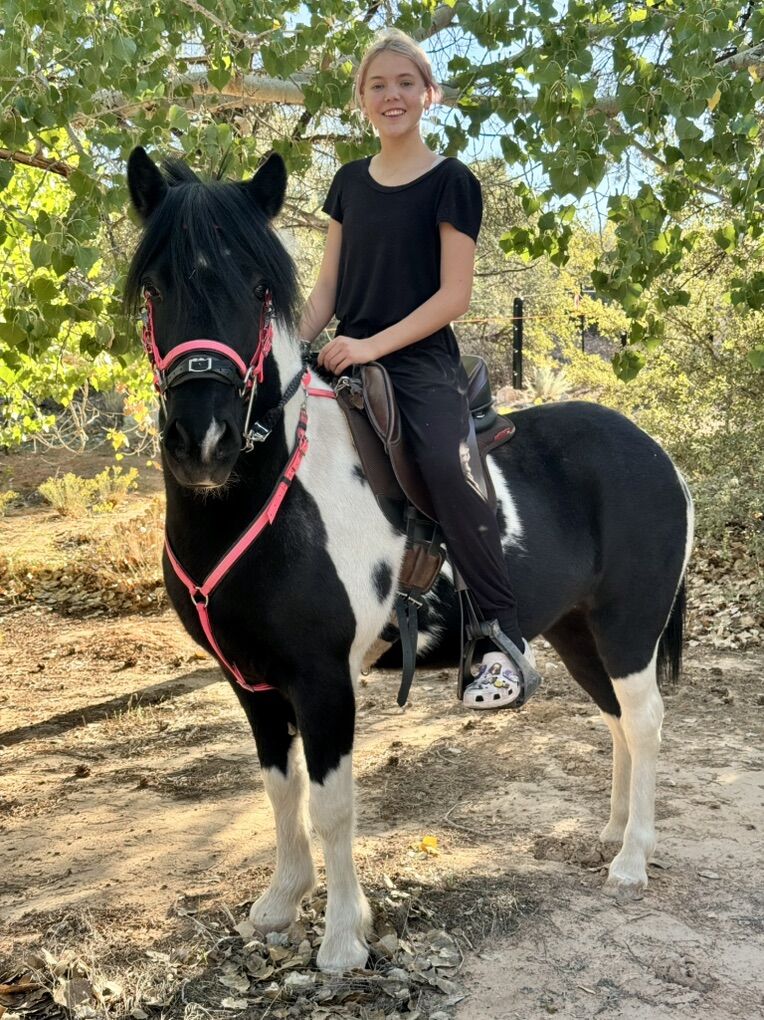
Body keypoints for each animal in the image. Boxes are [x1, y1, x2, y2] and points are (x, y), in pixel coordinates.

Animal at [125, 146, 693, 974]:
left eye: (258, 290)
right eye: (156, 286)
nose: (205, 443)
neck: (276, 495)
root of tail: (657, 454)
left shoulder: (324, 681)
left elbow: (332, 804)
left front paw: (340, 939)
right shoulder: (252, 682)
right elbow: (280, 791)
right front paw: (280, 903)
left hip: (628, 630)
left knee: (645, 722)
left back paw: (632, 860)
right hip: (580, 634)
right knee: (620, 722)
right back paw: (612, 836)